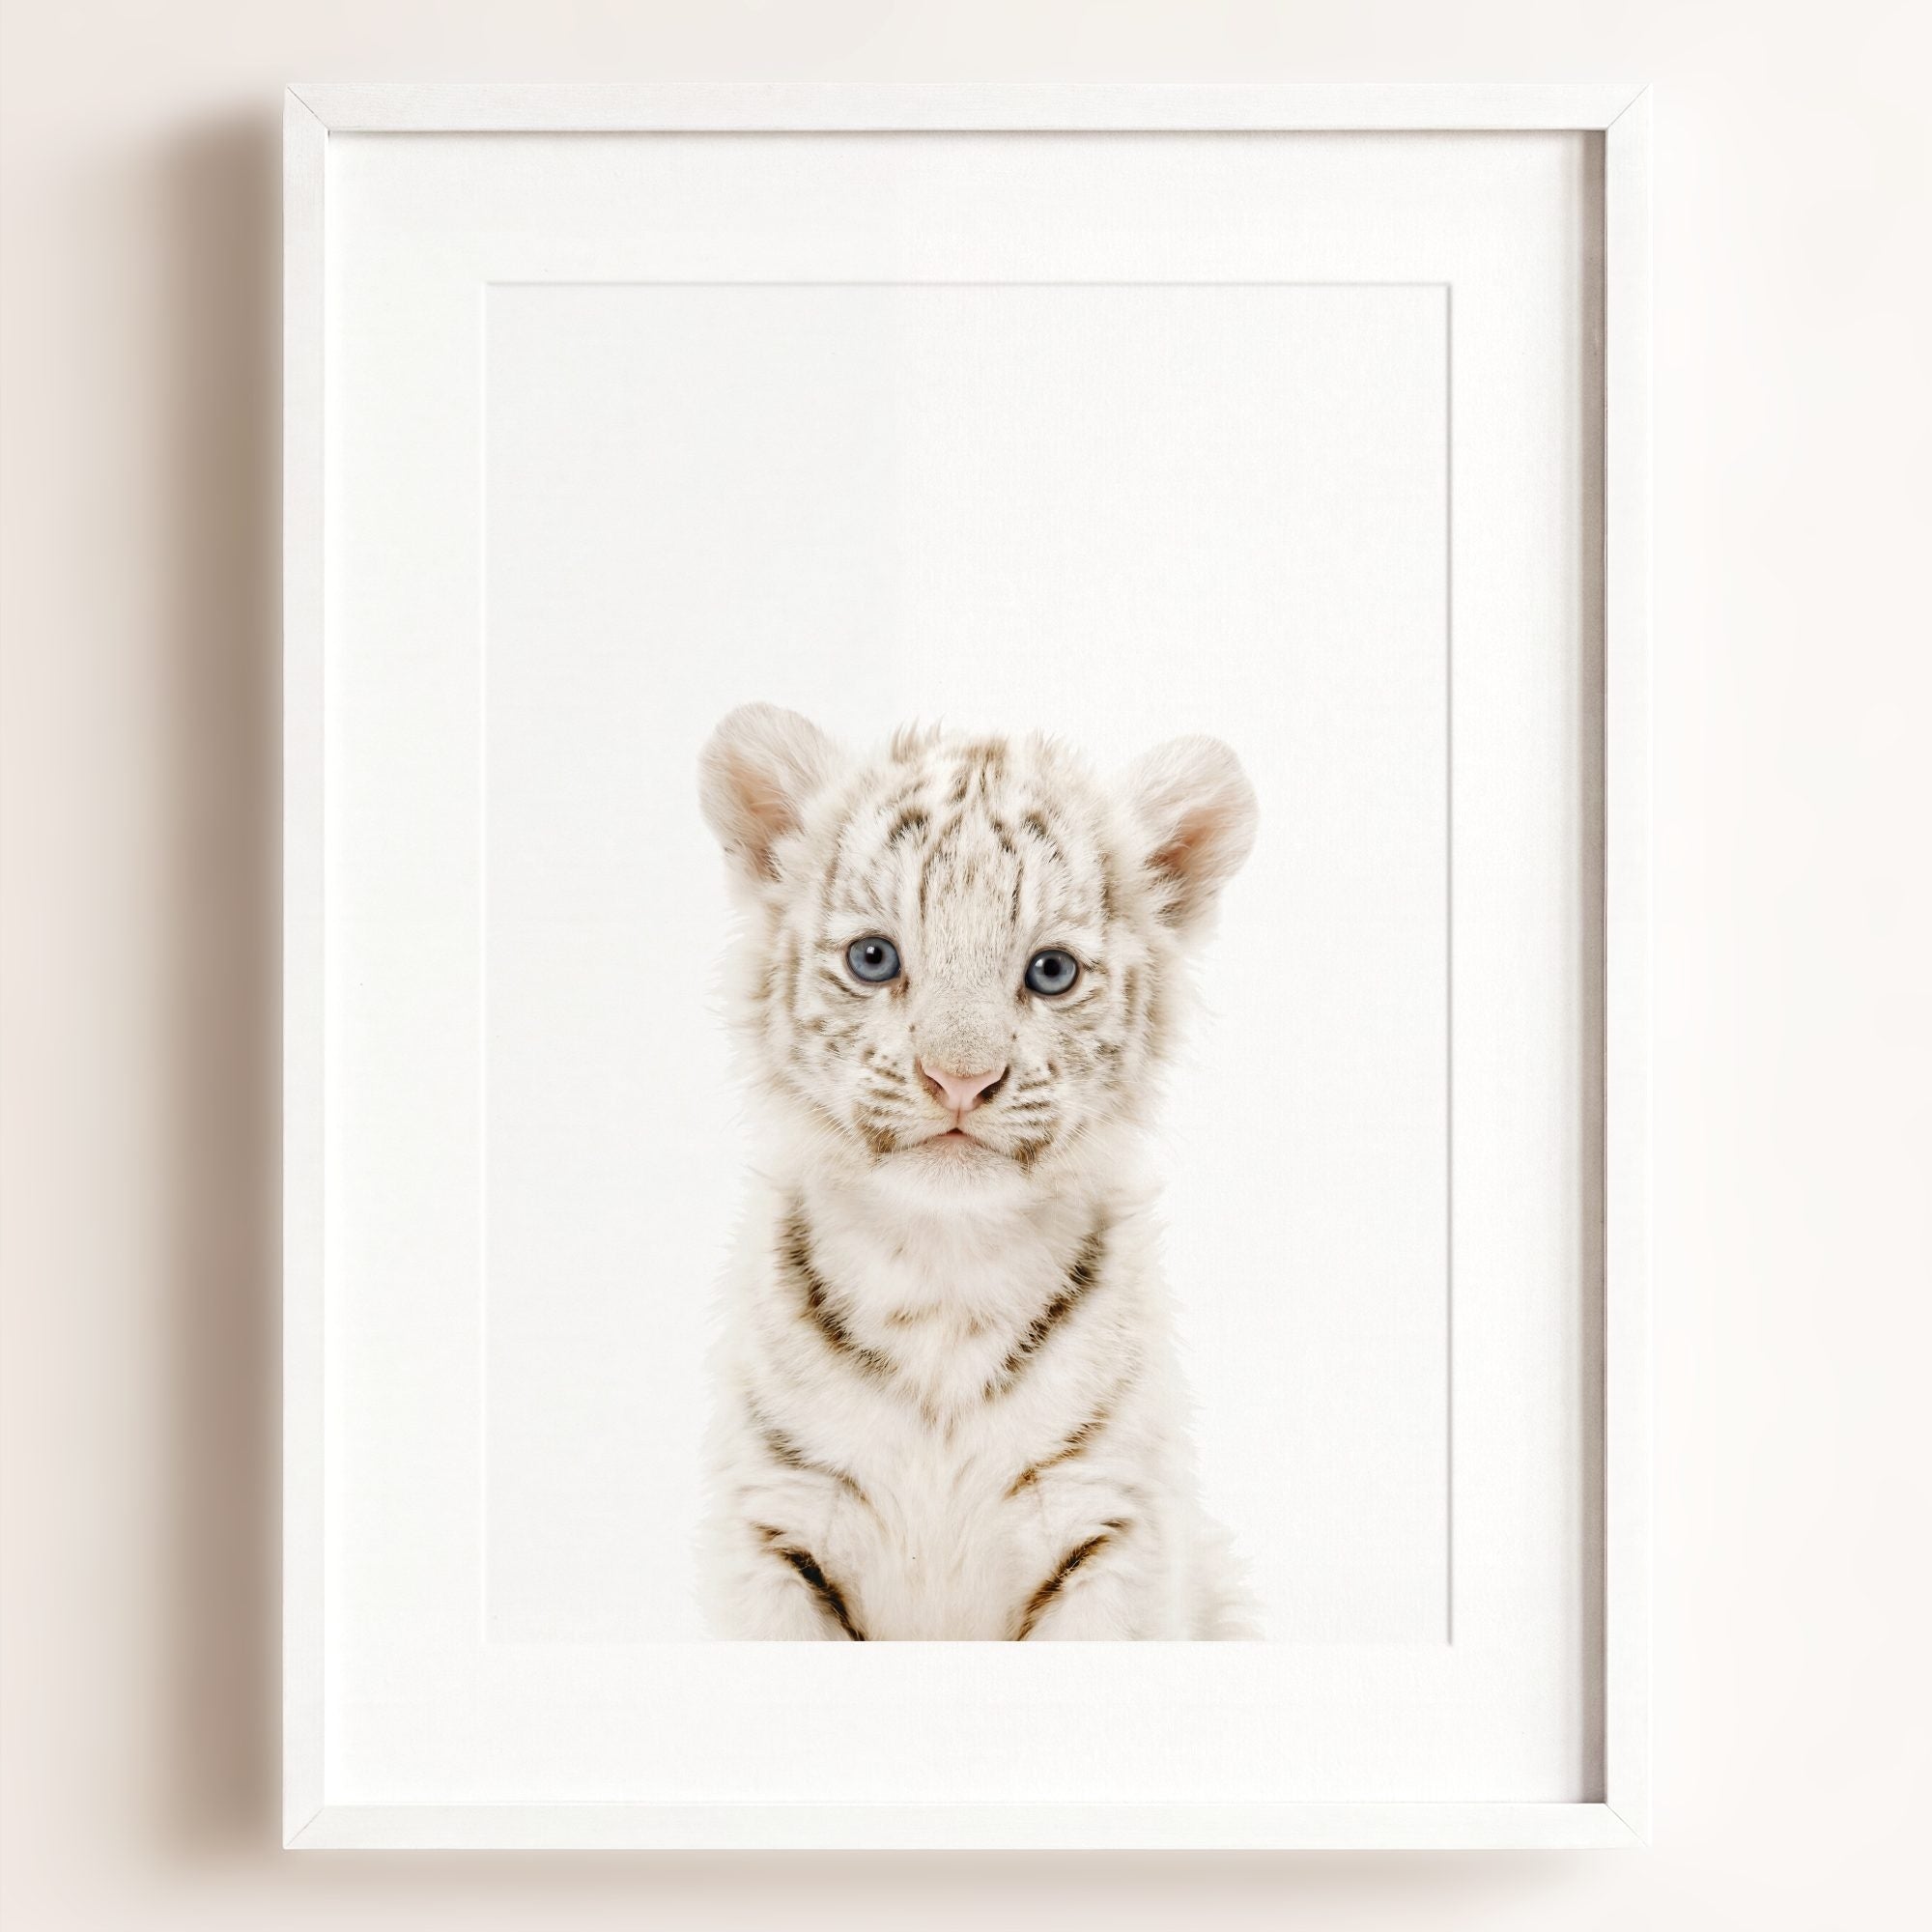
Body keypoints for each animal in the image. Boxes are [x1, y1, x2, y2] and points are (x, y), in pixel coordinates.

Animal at [696, 703, 1260, 1639]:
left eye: (1051, 971)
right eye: (874, 959)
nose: (959, 1079)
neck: (943, 1272)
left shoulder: (1110, 1528)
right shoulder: (775, 1526)